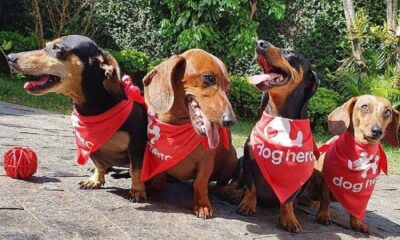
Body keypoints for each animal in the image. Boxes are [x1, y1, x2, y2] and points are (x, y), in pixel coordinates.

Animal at [7, 34, 148, 202]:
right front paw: (95, 180)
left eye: (56, 48)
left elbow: (136, 169)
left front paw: (137, 190)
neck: (96, 110)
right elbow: (99, 164)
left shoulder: (137, 145)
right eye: (46, 45)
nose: (10, 57)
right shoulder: (89, 144)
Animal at [141, 48, 238, 218]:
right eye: (208, 78)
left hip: (232, 157)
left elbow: (200, 182)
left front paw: (202, 205)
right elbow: (160, 173)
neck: (178, 124)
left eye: (228, 87)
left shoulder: (206, 162)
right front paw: (156, 189)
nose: (230, 121)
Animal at [234, 39, 318, 232]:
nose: (259, 43)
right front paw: (247, 204)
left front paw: (289, 218)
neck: (280, 119)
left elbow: (288, 200)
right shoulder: (249, 159)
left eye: (291, 52)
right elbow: (251, 187)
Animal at [304, 95, 398, 234]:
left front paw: (357, 223)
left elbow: (357, 209)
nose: (377, 131)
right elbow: (326, 200)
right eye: (364, 107)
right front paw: (323, 215)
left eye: (387, 111)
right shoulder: (326, 183)